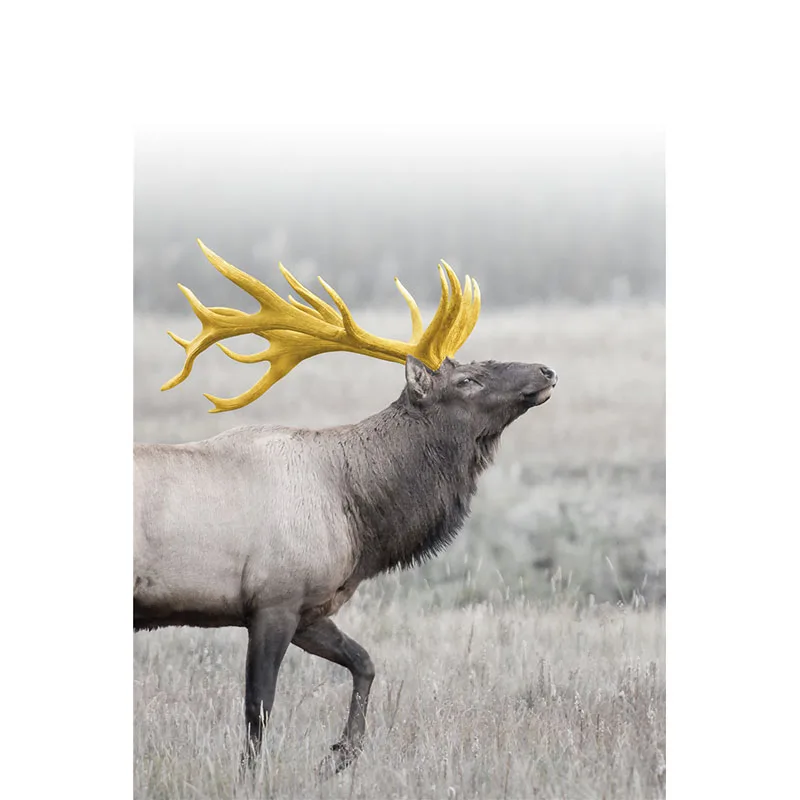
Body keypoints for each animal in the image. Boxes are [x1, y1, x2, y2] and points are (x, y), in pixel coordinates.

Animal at [134, 241, 558, 777]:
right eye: (468, 379)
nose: (547, 371)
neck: (357, 514)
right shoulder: (273, 600)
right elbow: (258, 708)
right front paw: (254, 776)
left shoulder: (310, 609)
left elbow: (365, 661)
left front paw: (342, 751)